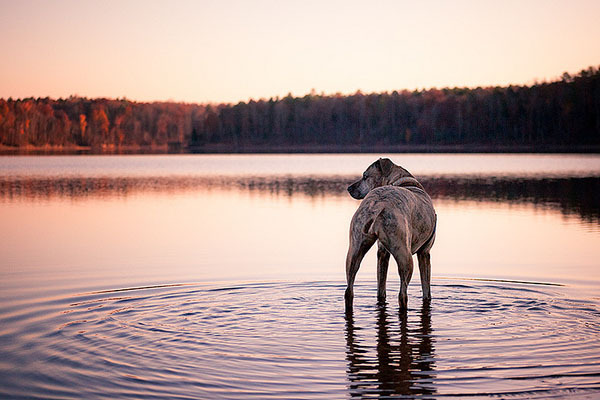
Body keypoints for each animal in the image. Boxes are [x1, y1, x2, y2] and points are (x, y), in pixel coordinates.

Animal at [346, 158, 436, 310]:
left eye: (365, 176)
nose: (349, 188)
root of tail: (378, 205)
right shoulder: (425, 252)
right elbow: (426, 288)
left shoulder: (382, 252)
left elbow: (381, 284)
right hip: (404, 254)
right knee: (402, 293)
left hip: (355, 246)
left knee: (349, 289)